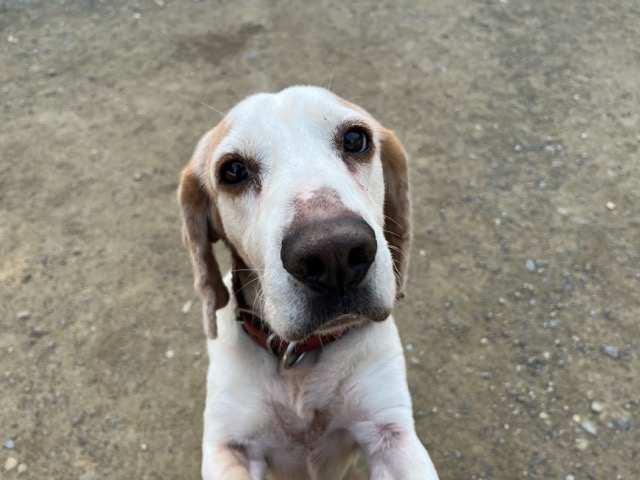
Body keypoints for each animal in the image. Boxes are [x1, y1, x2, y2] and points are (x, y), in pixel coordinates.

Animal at [178, 86, 439, 479]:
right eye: (234, 170)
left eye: (355, 139)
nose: (334, 254)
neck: (298, 360)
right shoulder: (229, 448)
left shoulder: (389, 433)